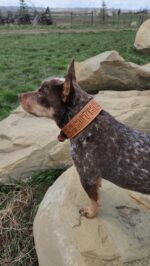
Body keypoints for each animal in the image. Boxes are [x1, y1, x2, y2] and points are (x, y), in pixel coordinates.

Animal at [19, 59, 150, 217]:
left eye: (41, 92)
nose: (18, 95)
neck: (86, 125)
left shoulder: (86, 177)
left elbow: (94, 200)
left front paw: (91, 212)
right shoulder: (94, 178)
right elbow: (97, 192)